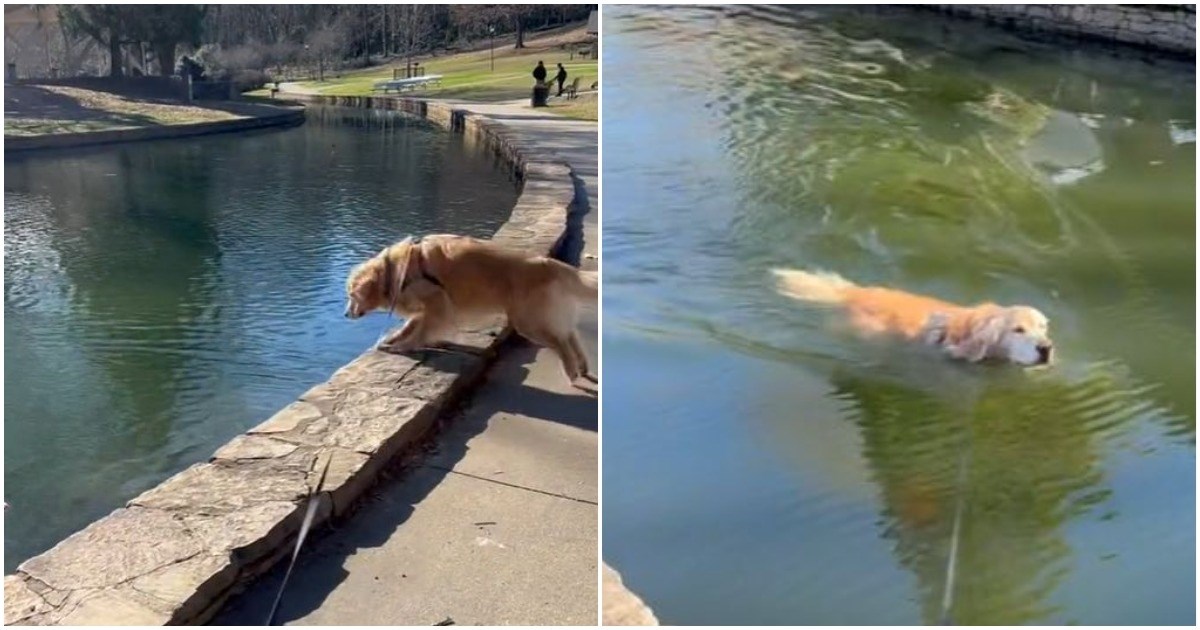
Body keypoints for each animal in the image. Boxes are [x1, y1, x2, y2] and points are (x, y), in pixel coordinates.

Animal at [345, 232, 597, 384]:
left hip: (529, 321)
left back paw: (572, 373)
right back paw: (583, 367)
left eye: (352, 296)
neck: (396, 271)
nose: (345, 314)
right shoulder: (430, 307)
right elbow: (411, 325)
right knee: (571, 334)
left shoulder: (437, 302)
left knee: (562, 342)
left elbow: (420, 330)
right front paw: (392, 339)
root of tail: (549, 263)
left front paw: (403, 346)